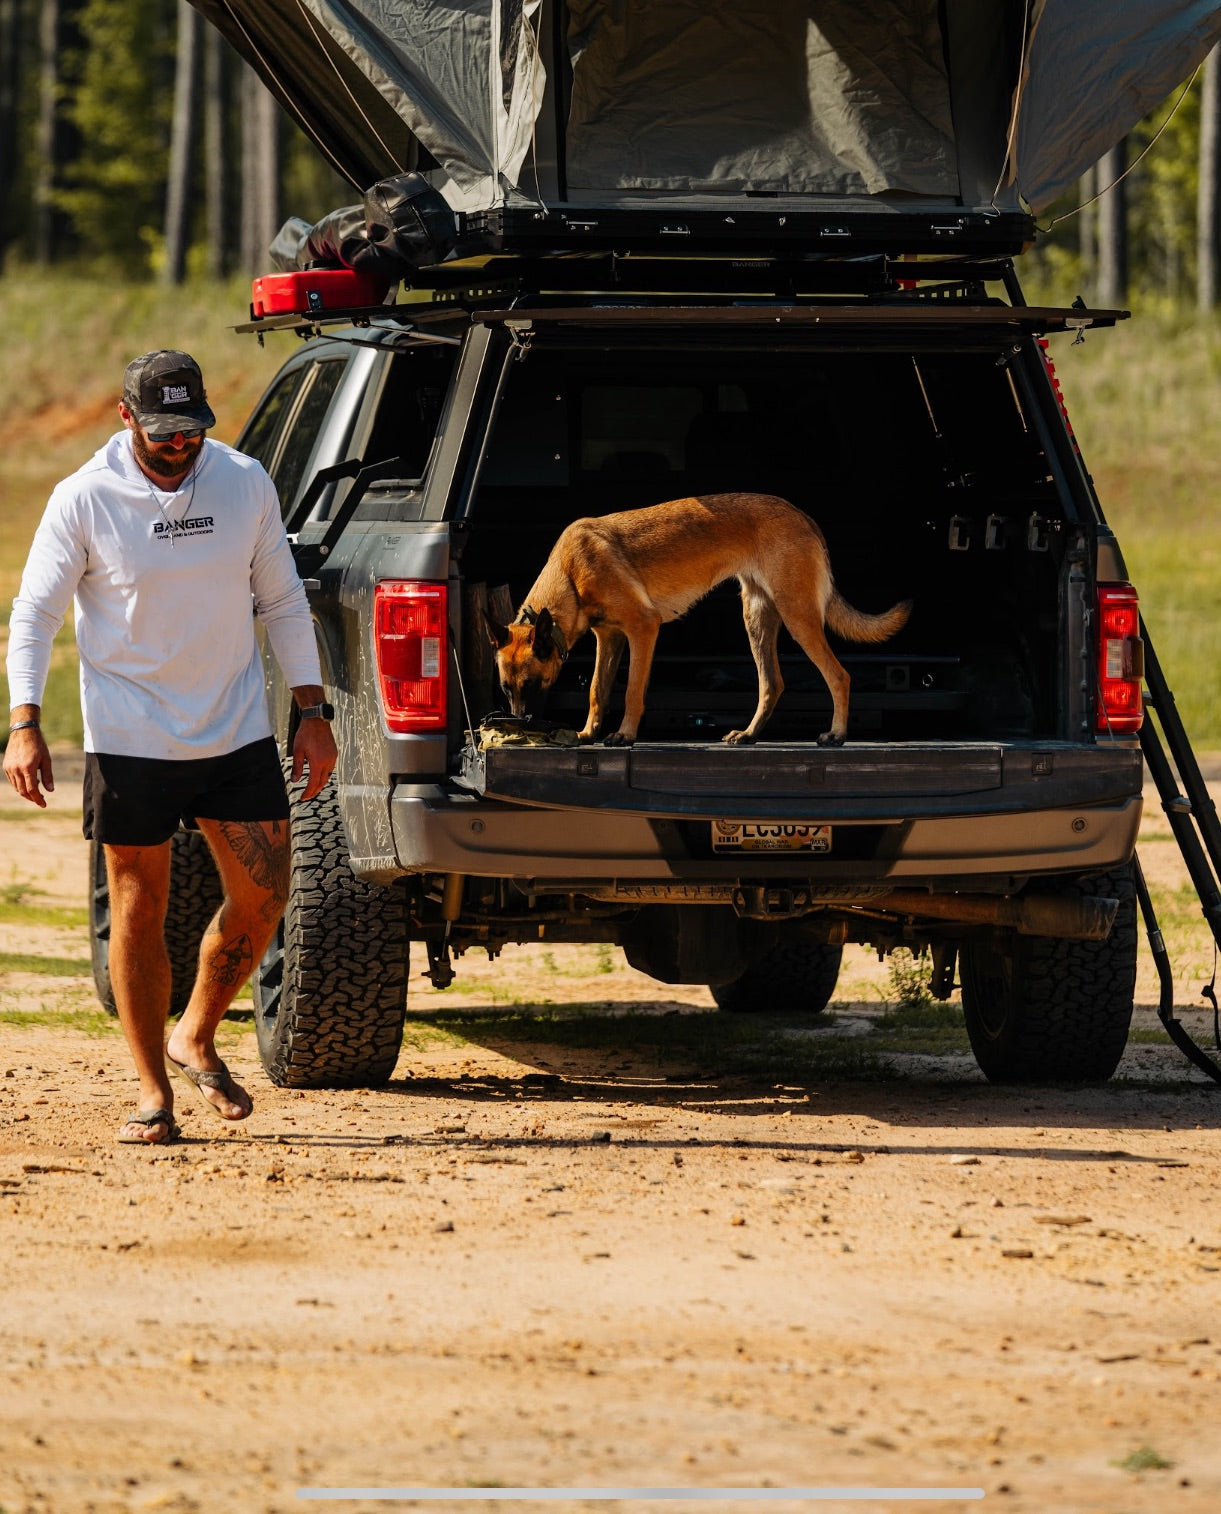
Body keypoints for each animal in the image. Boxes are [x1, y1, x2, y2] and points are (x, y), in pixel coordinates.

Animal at [487, 493, 908, 747]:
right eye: (506, 689)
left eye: (532, 684)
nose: (520, 721)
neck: (571, 572)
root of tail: (802, 515)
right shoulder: (608, 638)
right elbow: (596, 689)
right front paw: (588, 732)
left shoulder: (643, 629)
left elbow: (632, 690)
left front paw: (624, 735)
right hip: (756, 620)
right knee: (772, 684)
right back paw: (749, 734)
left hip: (797, 616)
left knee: (839, 676)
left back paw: (836, 734)